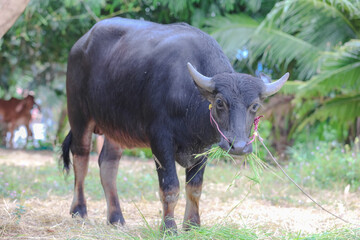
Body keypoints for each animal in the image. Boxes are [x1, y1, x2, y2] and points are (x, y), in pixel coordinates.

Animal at [60, 16, 288, 231]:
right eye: (220, 102)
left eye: (255, 106)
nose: (238, 146)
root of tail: (80, 44)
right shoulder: (160, 141)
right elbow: (170, 188)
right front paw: (169, 227)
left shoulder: (203, 148)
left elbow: (195, 188)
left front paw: (192, 225)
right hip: (78, 115)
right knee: (81, 158)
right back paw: (79, 211)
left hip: (115, 127)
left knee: (108, 163)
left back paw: (116, 218)